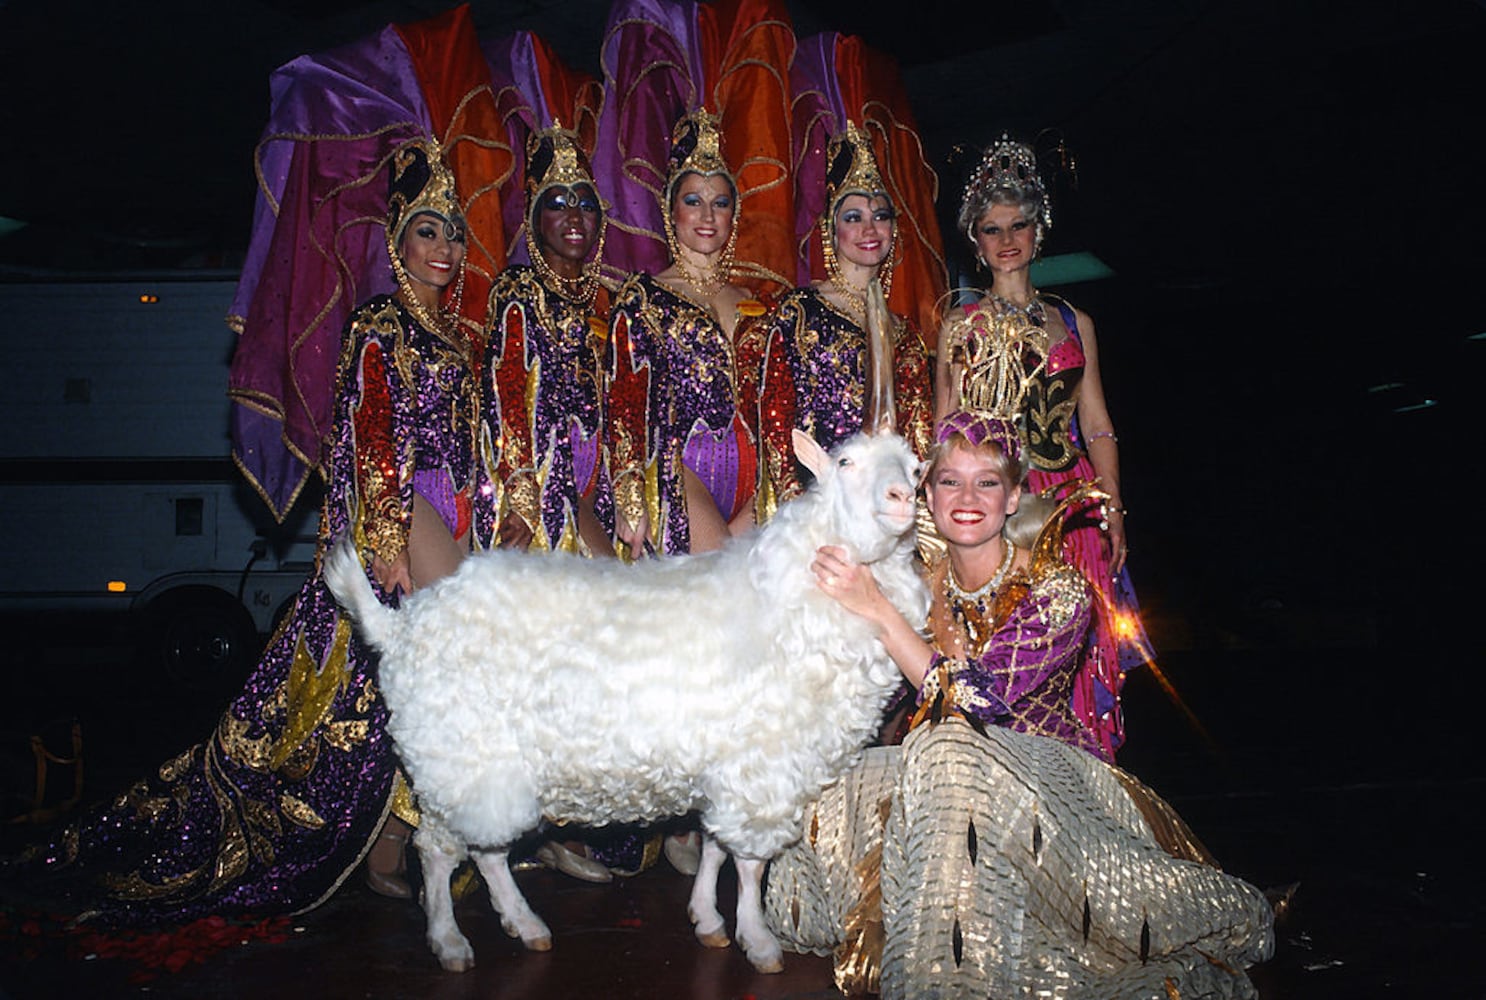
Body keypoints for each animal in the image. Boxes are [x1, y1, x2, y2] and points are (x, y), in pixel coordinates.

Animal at [325, 427, 927, 968]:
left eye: (916, 468)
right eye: (846, 462)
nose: (903, 498)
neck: (790, 596)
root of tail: (400, 627)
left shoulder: (727, 764)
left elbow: (715, 845)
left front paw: (707, 920)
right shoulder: (762, 768)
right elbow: (749, 861)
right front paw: (758, 942)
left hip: (488, 770)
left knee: (487, 851)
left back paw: (525, 925)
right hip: (459, 759)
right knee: (437, 850)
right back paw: (451, 943)